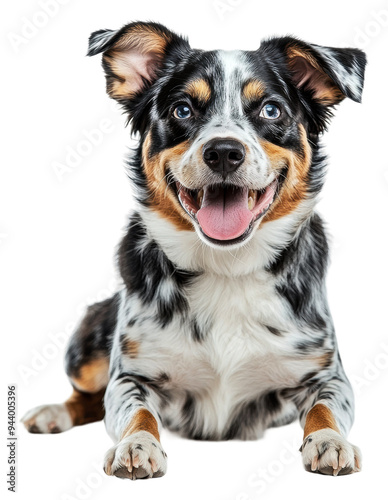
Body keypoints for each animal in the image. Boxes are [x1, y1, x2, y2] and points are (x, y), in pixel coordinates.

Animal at [22, 21, 366, 478]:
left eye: (270, 110)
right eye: (182, 110)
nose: (223, 151)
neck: (227, 269)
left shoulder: (326, 373)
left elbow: (325, 407)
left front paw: (329, 440)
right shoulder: (131, 374)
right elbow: (135, 411)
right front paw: (137, 445)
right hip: (86, 344)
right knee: (87, 396)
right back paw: (52, 413)